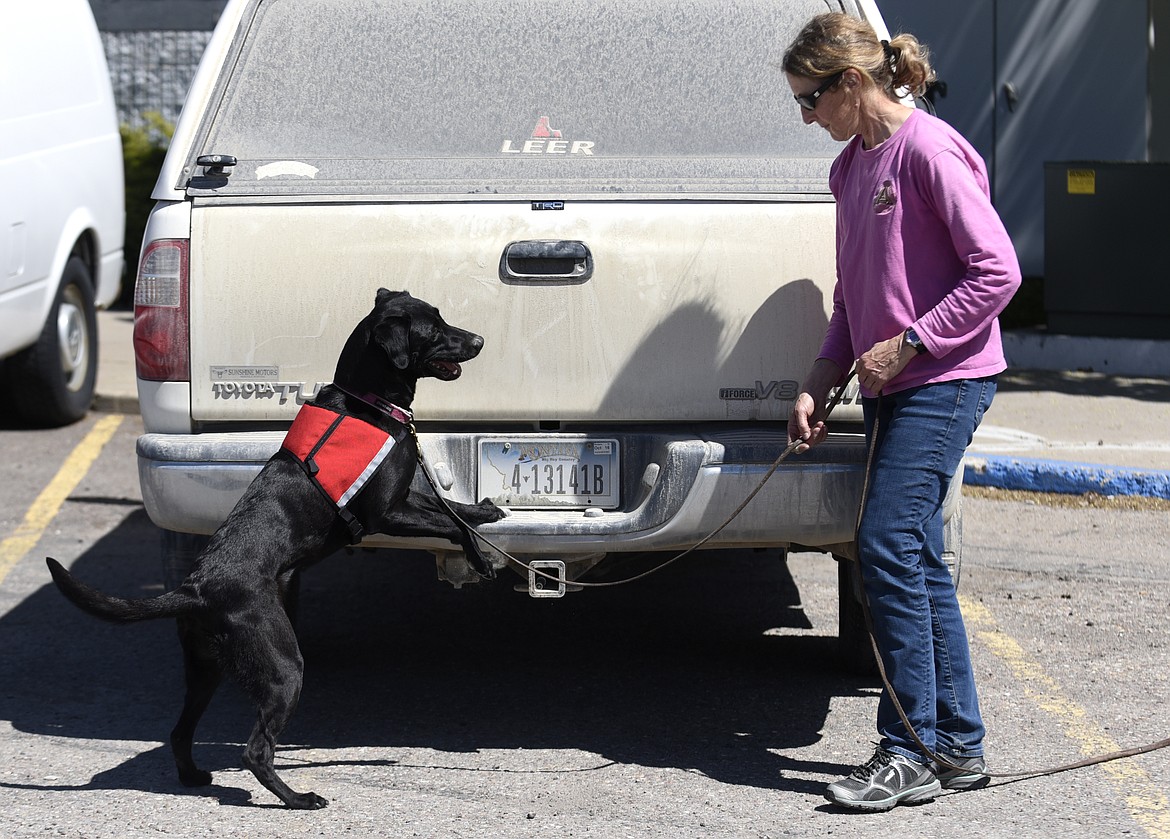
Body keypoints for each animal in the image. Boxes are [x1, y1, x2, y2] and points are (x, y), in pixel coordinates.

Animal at [46, 287, 503, 805]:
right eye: (434, 327)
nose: (480, 340)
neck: (365, 403)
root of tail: (195, 589)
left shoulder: (405, 496)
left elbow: (453, 510)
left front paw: (485, 511)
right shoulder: (386, 514)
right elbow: (450, 525)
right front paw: (480, 558)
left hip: (206, 669)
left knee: (181, 732)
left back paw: (193, 777)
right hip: (282, 666)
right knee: (255, 751)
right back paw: (296, 798)